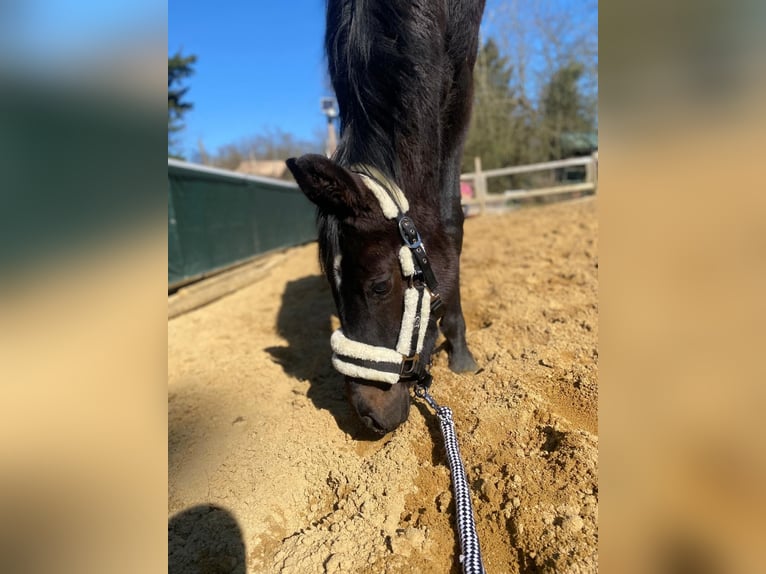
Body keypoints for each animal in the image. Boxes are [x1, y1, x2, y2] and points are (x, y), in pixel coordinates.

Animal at [286, 0, 485, 435]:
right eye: (331, 284)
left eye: (379, 285)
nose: (369, 417)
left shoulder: (462, 74)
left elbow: (450, 218)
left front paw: (461, 352)